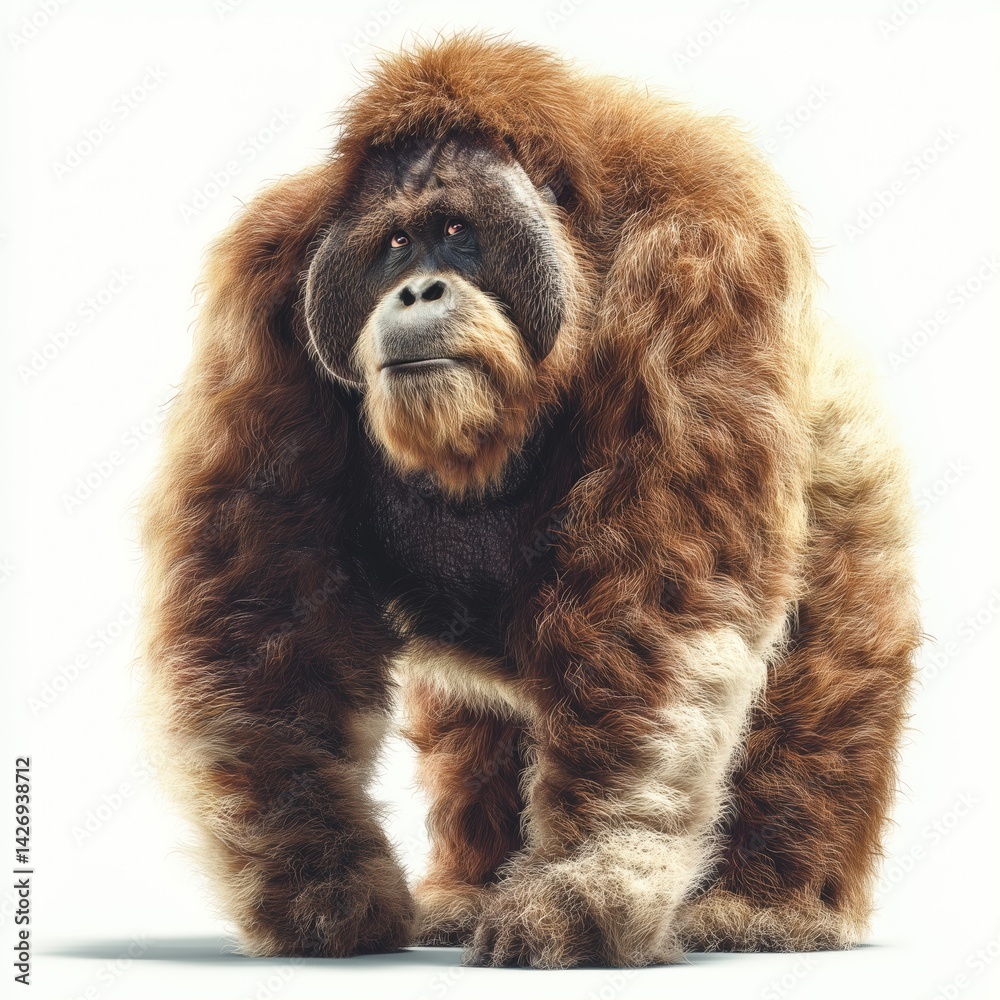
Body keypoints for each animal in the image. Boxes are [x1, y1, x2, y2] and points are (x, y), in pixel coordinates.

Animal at [139, 34, 920, 968]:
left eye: (456, 233)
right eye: (396, 242)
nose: (417, 290)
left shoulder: (702, 264)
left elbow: (653, 596)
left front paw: (576, 900)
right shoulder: (262, 301)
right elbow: (269, 597)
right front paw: (323, 893)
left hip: (856, 483)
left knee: (820, 694)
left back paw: (766, 910)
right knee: (471, 724)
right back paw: (469, 887)